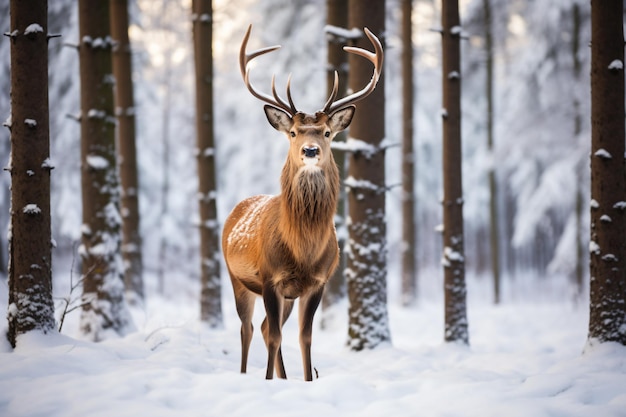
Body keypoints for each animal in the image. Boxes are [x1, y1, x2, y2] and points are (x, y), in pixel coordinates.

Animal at [222, 23, 382, 380]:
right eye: (294, 132)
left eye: (326, 132)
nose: (310, 150)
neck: (303, 250)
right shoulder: (270, 278)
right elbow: (275, 335)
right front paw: (268, 381)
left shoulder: (317, 282)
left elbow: (304, 337)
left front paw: (307, 379)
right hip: (237, 278)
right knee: (249, 329)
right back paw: (245, 374)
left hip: (286, 294)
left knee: (265, 327)